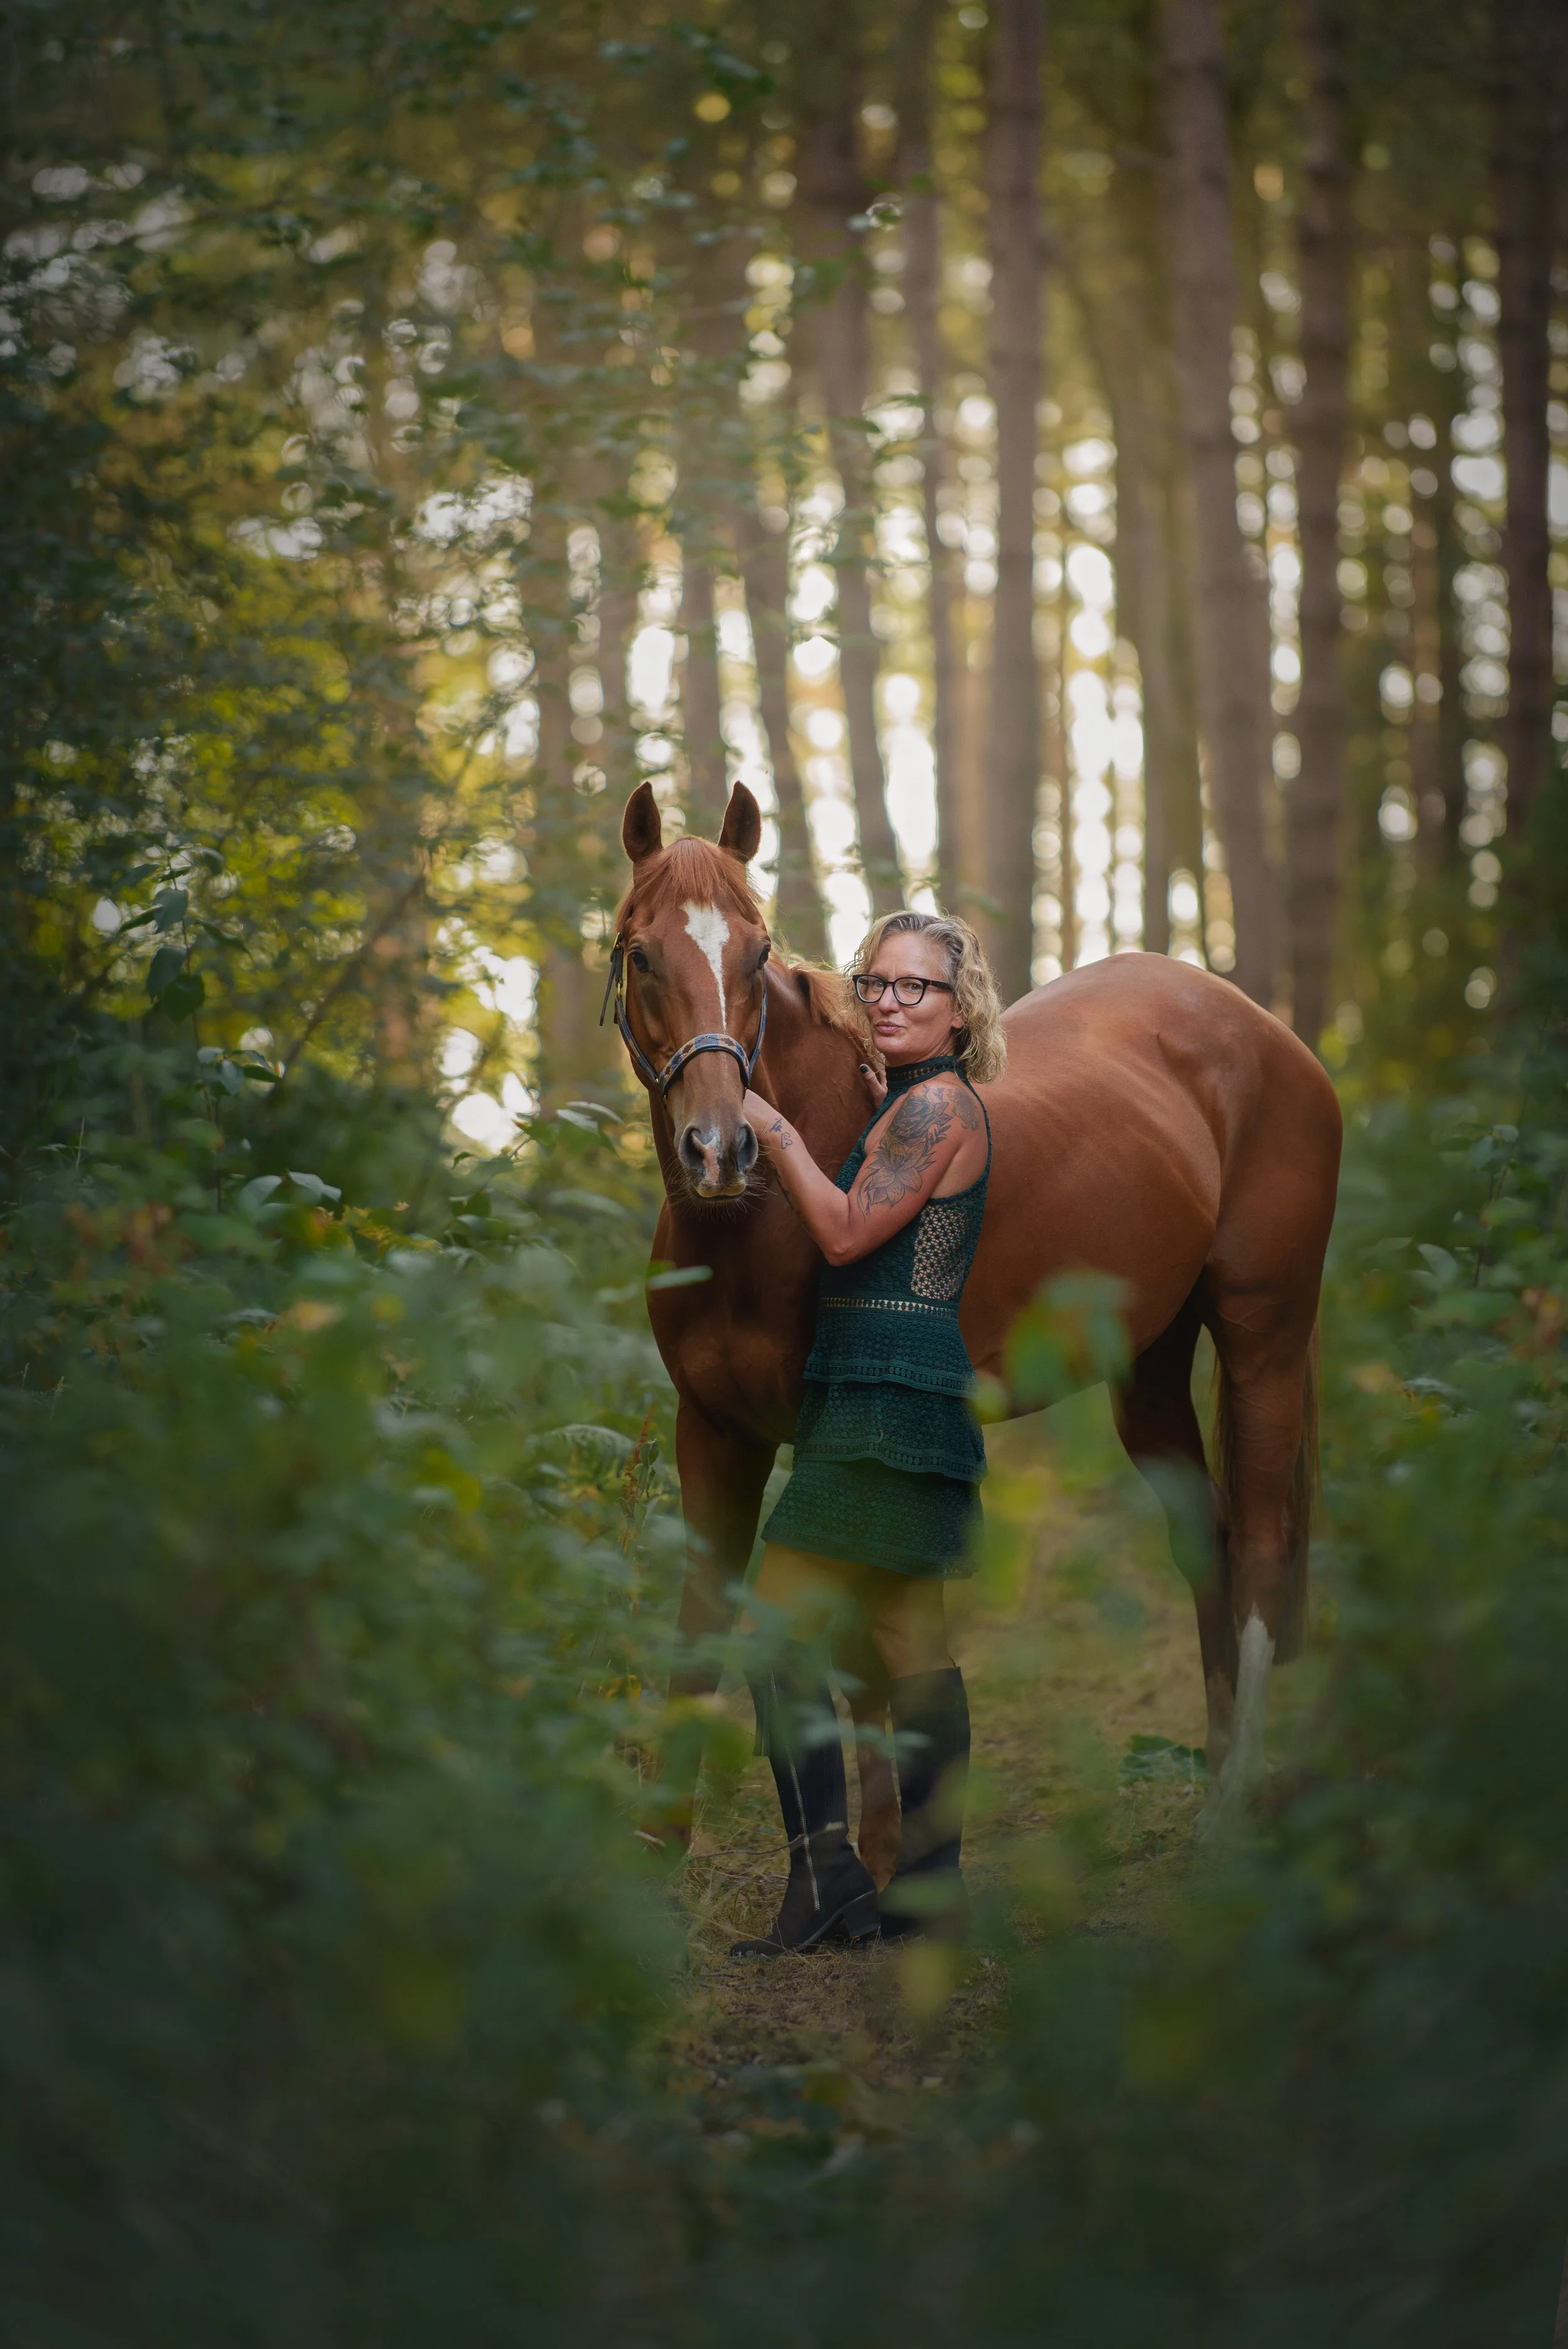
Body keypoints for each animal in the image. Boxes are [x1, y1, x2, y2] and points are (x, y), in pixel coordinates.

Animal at [607, 779, 1342, 1861]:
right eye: (643, 952)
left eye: (755, 948)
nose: (723, 1149)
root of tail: (1268, 1032)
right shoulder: (713, 1431)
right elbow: (701, 1630)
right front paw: (658, 1851)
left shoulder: (836, 1440)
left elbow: (859, 1647)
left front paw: (881, 1858)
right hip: (1150, 1365)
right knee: (1204, 1536)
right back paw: (1215, 1779)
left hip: (1265, 1337)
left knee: (1258, 1540)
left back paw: (1238, 1801)